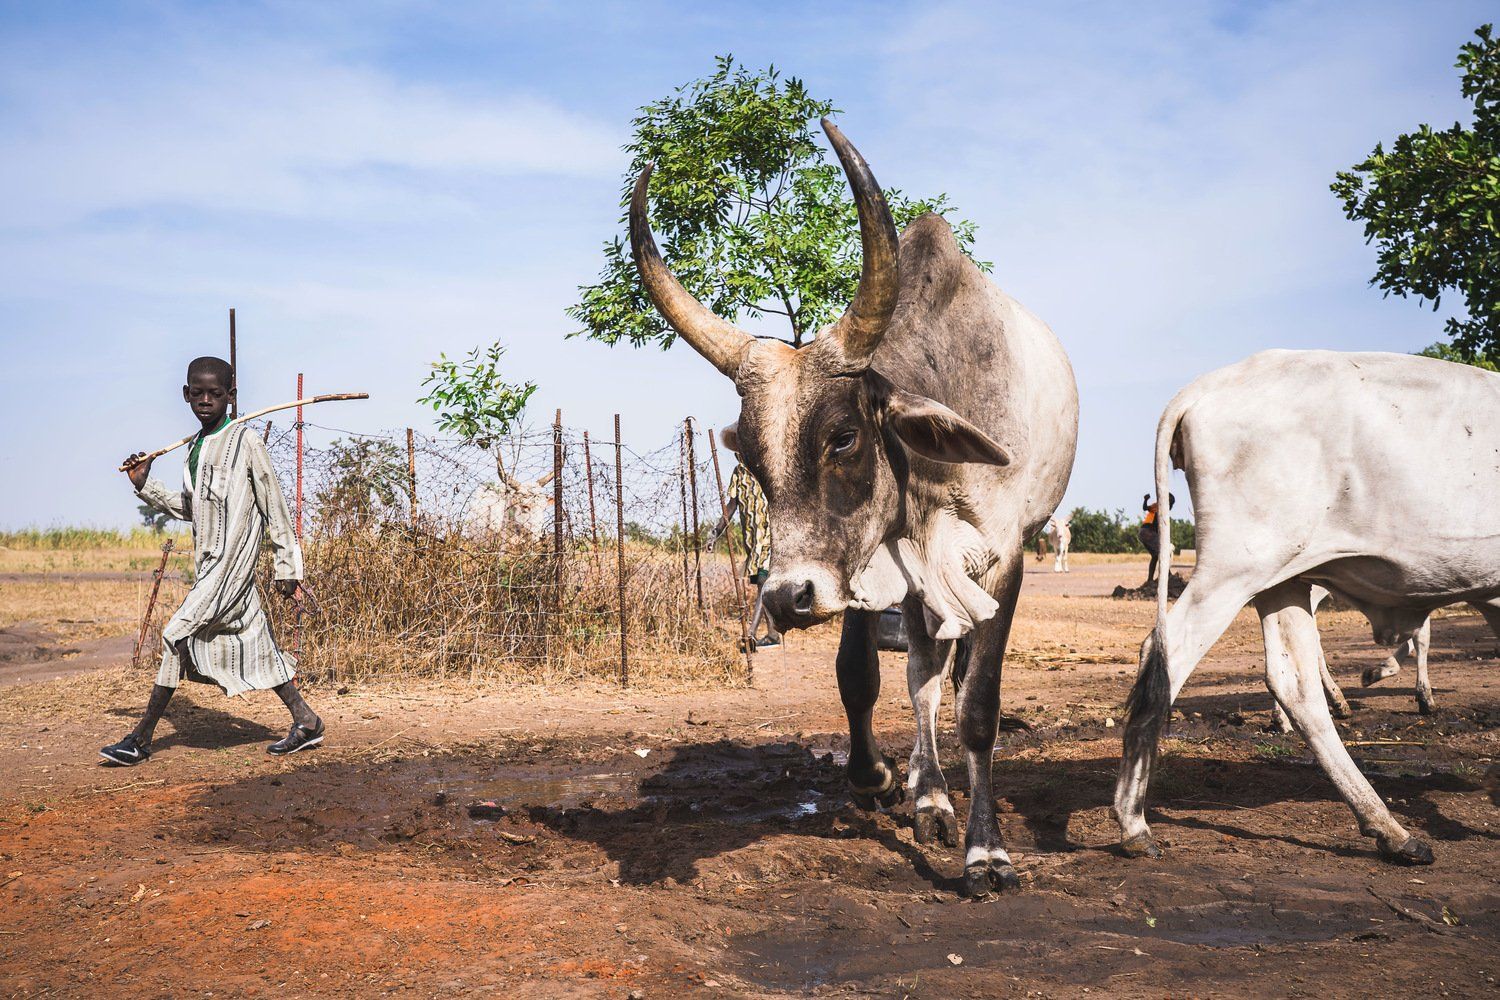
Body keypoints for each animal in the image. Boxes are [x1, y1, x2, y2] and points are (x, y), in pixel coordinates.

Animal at [629, 120, 1079, 895]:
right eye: (752, 457)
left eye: (843, 436)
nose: (786, 598)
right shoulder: (868, 568)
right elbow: (862, 678)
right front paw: (880, 779)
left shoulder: (1005, 558)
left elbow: (979, 704)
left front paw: (987, 854)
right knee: (922, 676)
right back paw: (929, 796)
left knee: (945, 675)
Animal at [1115, 349, 1500, 867]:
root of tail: (1202, 388)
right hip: (1238, 566)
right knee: (1165, 651)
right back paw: (1134, 822)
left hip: (1285, 579)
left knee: (1293, 683)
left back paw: (1389, 828)